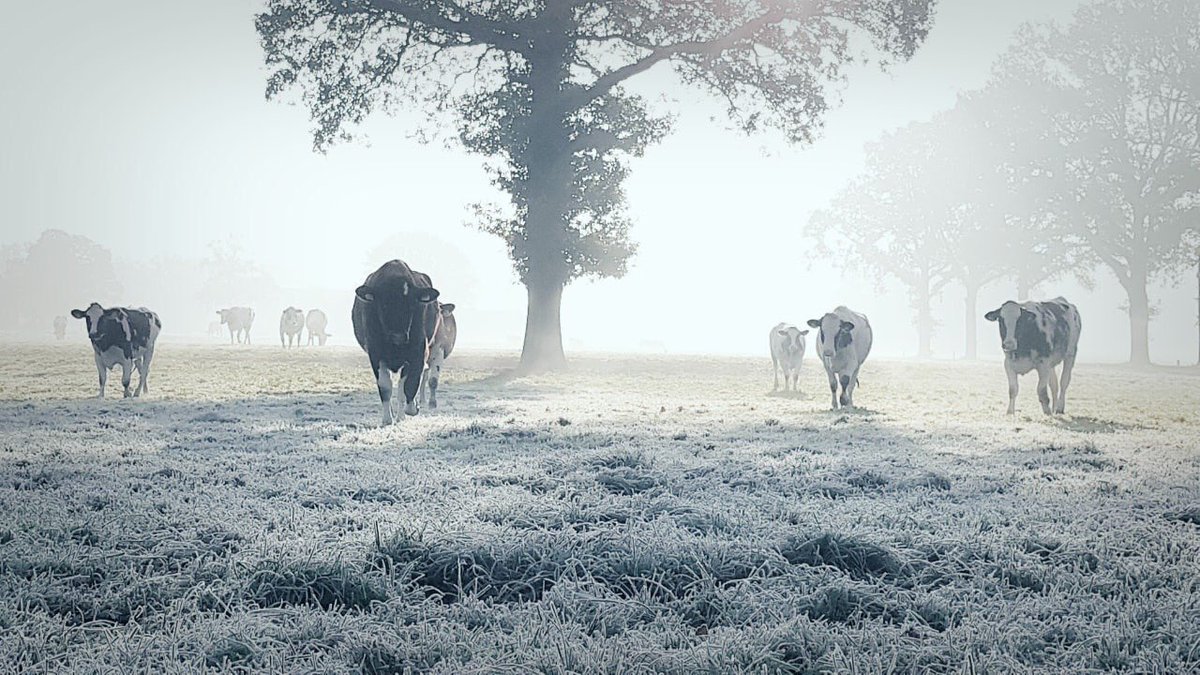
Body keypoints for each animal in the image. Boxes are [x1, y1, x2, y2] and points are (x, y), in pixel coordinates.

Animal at [351, 260, 441, 425]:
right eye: (384, 304)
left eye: (412, 305)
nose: (398, 336)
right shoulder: (375, 354)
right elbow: (385, 387)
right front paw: (387, 419)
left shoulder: (419, 352)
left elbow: (408, 386)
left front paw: (412, 408)